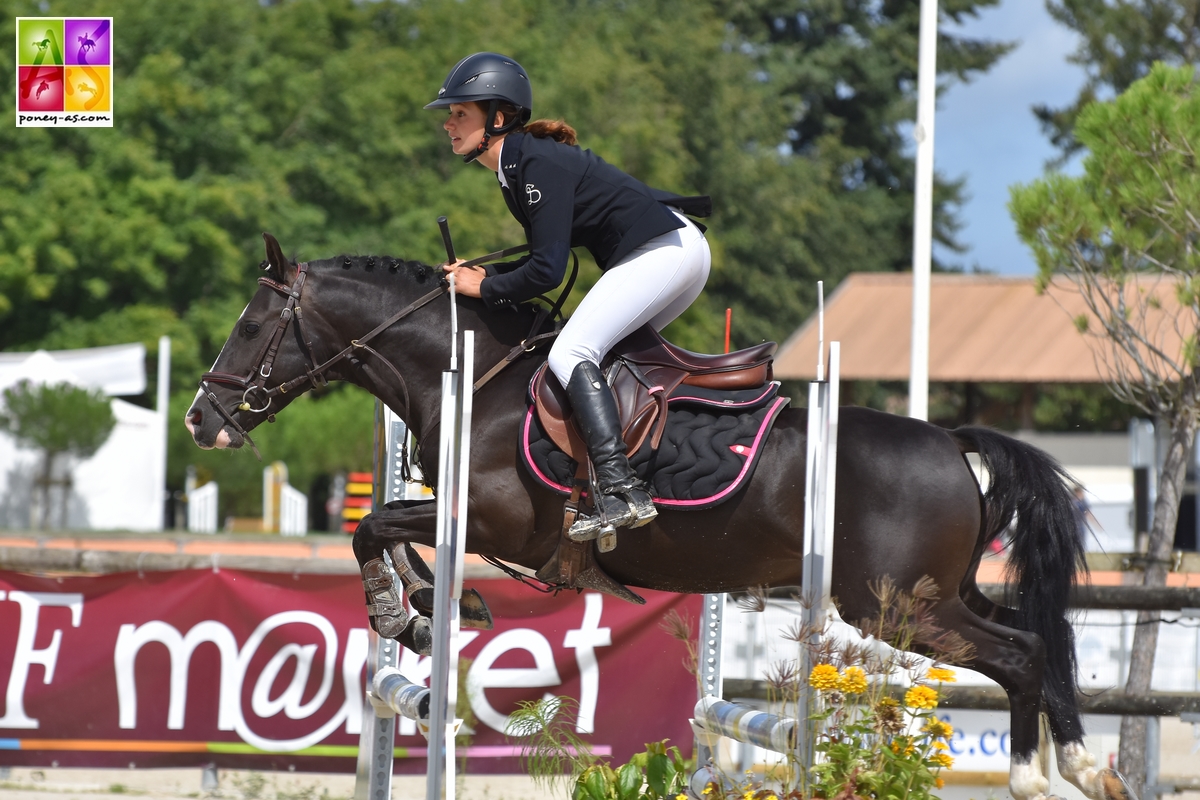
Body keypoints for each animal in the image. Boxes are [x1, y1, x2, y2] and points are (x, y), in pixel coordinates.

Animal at [184, 235, 1132, 800]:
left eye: (253, 325)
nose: (200, 419)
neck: (478, 380)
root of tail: (950, 441)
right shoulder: (464, 521)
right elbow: (382, 524)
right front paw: (427, 609)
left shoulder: (487, 525)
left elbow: (374, 524)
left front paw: (406, 615)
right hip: (939, 594)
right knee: (1038, 636)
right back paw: (1086, 764)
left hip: (894, 606)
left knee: (1021, 652)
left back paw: (1033, 778)